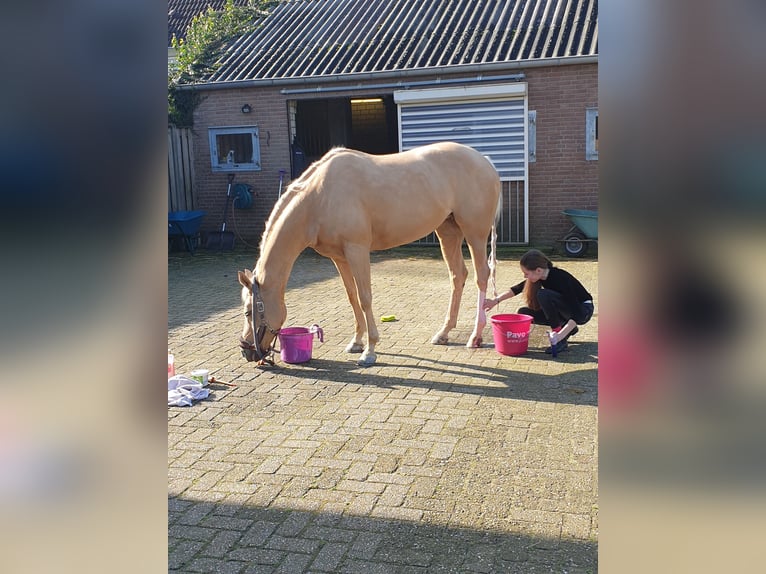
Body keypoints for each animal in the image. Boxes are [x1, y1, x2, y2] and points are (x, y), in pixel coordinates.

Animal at [238, 142, 504, 366]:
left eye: (249, 311)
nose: (247, 351)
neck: (320, 197)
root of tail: (486, 161)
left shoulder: (357, 250)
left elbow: (365, 298)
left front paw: (370, 351)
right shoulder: (339, 257)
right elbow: (352, 297)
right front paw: (356, 343)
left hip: (475, 234)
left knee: (481, 275)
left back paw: (475, 336)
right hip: (448, 231)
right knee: (458, 276)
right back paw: (443, 333)